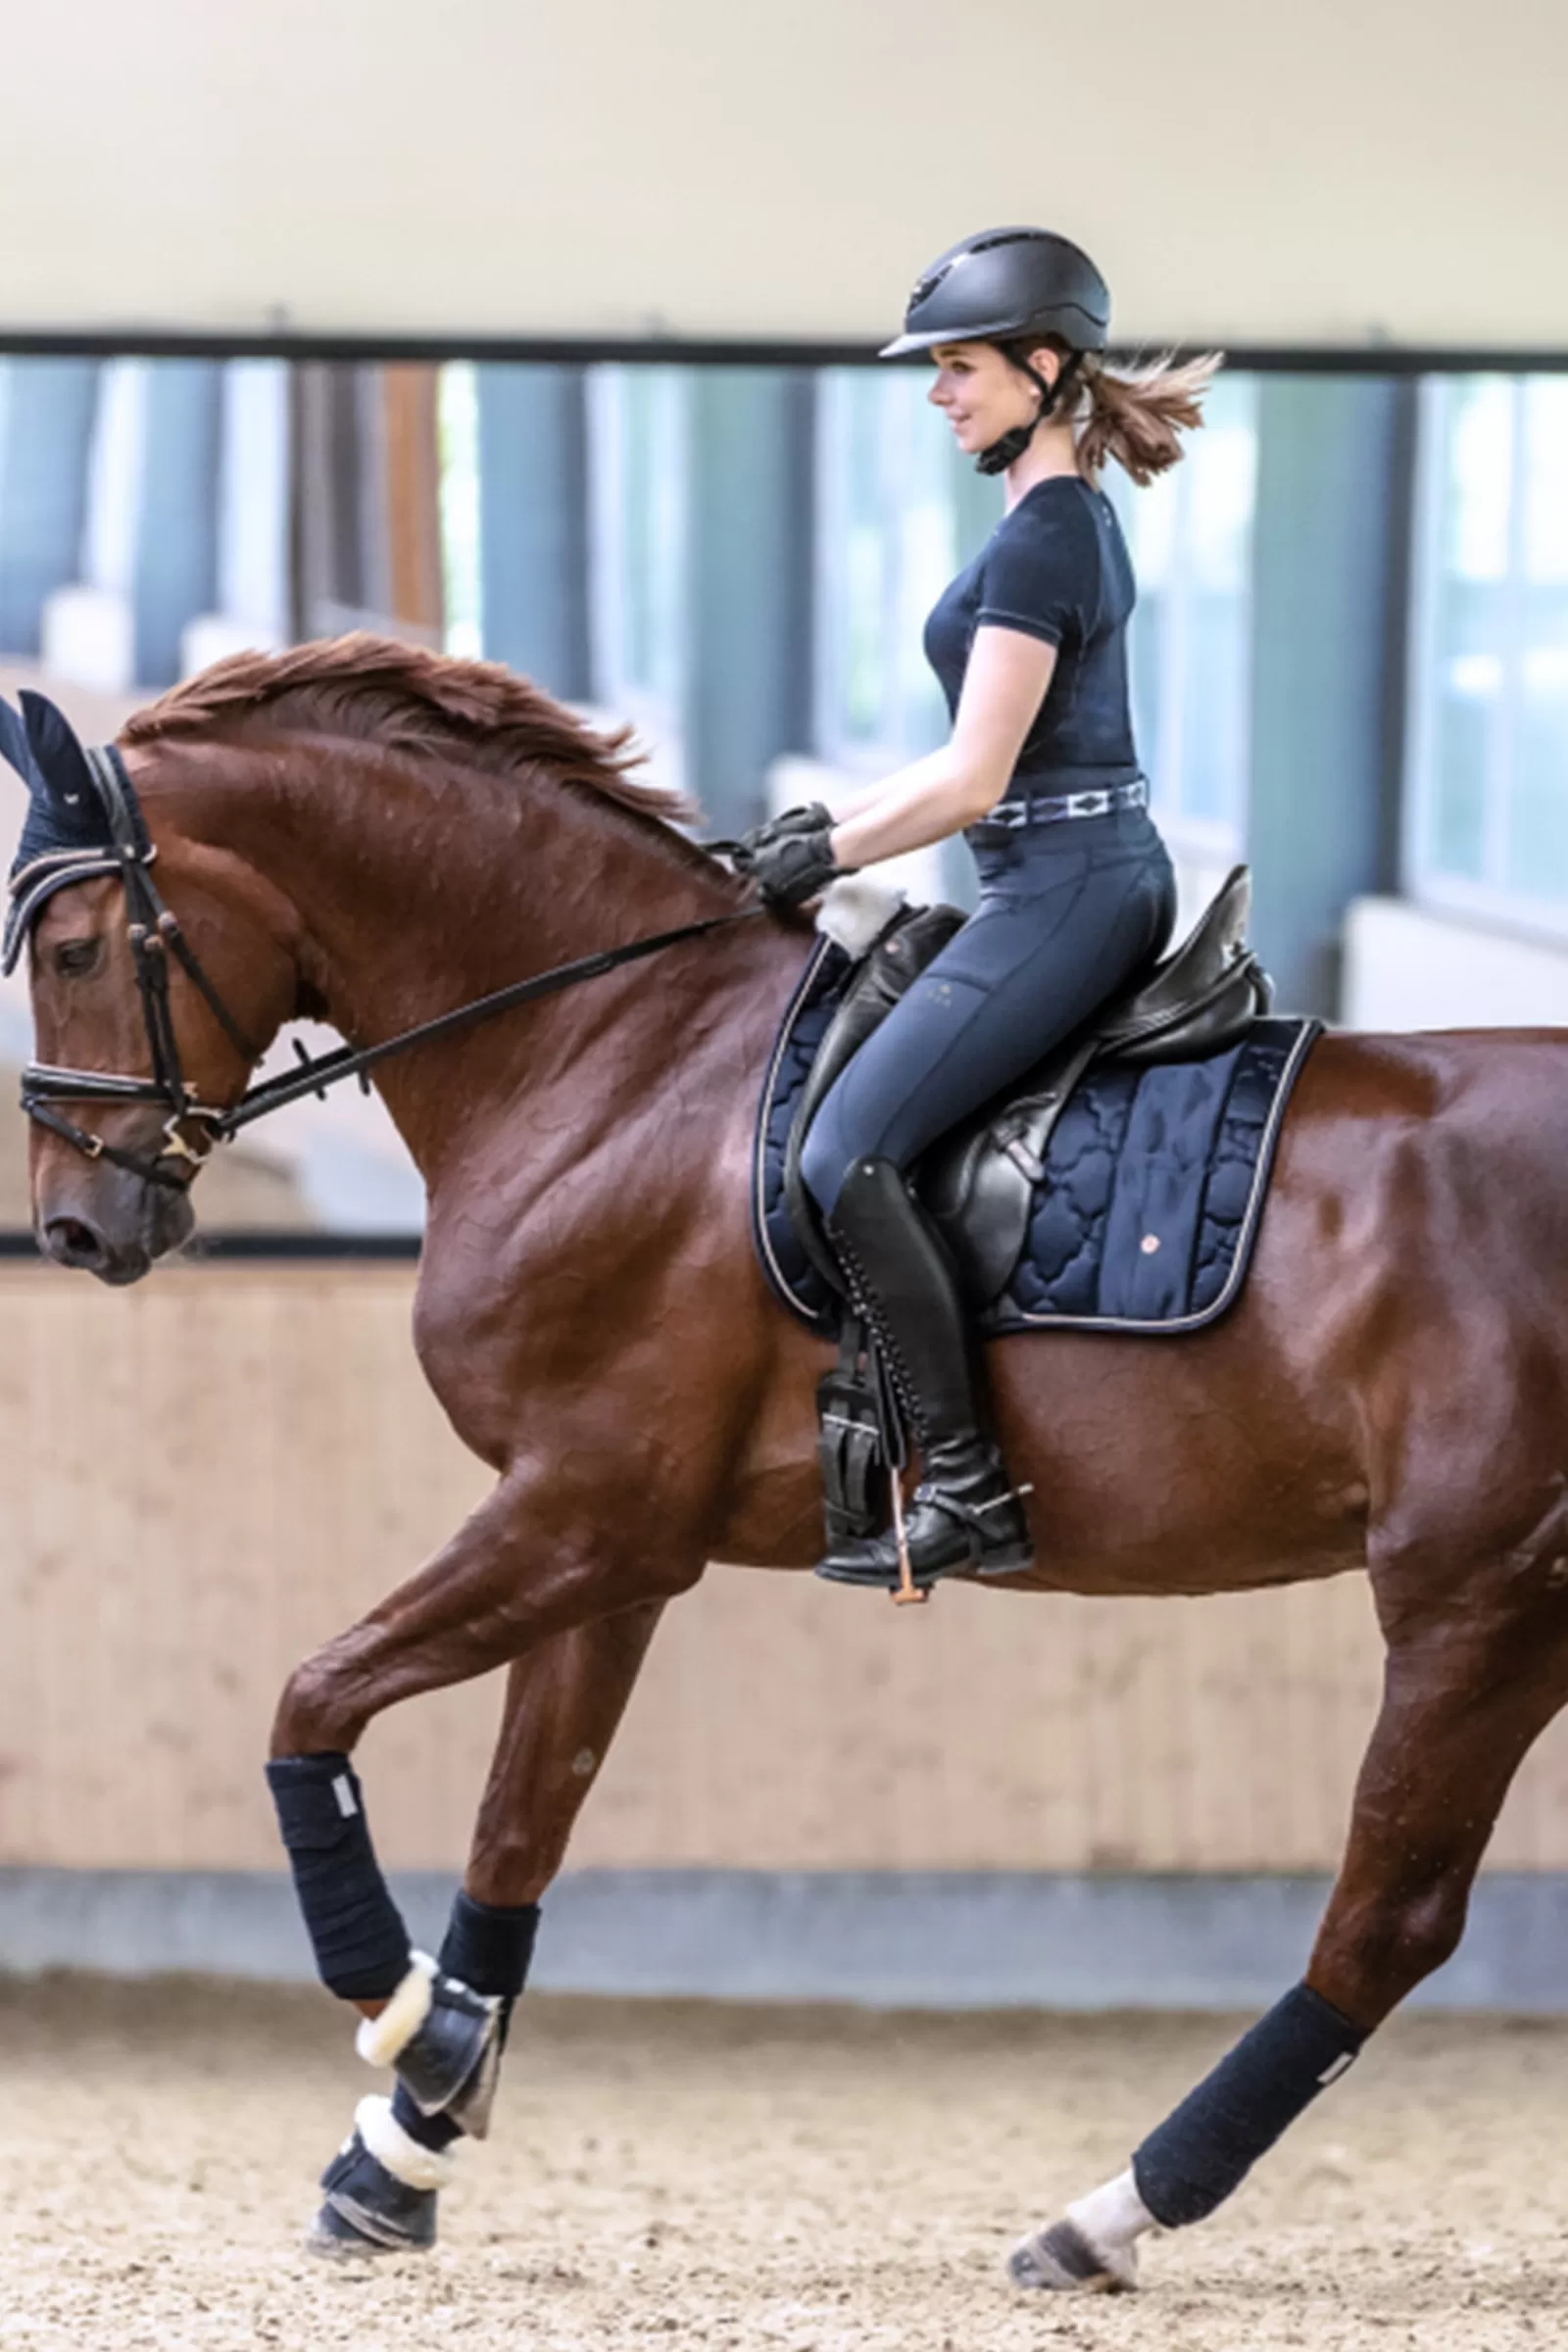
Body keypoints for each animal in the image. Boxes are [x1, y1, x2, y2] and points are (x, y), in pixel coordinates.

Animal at [12, 635, 1568, 2285]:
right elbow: (520, 1825)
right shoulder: (605, 1548)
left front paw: (408, 2023)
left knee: (1386, 1918)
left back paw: (1103, 2217)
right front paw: (406, 2144)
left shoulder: (585, 1514)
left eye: (76, 953)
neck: (611, 1059)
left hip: (1473, 1603)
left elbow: (312, 1705)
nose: (74, 1228)